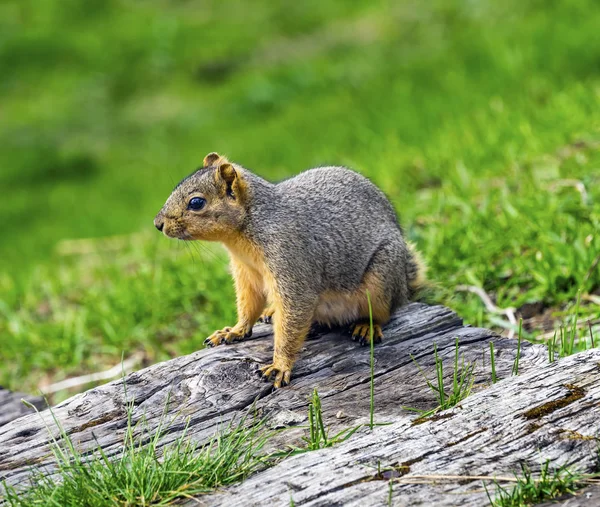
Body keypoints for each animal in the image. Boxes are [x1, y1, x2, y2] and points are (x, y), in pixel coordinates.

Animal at [155, 153, 426, 386]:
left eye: (196, 202)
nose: (158, 224)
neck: (242, 236)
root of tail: (403, 284)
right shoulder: (247, 273)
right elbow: (248, 304)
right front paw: (233, 331)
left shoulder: (289, 258)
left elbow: (293, 313)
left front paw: (279, 366)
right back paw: (273, 311)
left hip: (381, 280)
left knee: (385, 312)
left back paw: (366, 325)